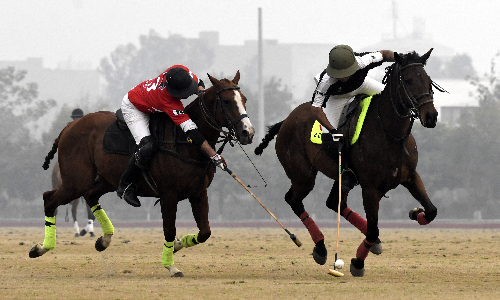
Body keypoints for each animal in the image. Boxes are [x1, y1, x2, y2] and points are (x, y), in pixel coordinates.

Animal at [28, 71, 254, 276]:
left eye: (244, 100)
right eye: (226, 101)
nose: (248, 133)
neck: (186, 143)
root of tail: (68, 127)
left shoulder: (198, 192)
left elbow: (205, 231)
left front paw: (178, 244)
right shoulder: (168, 194)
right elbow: (169, 229)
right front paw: (171, 266)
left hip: (106, 180)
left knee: (90, 196)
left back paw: (104, 240)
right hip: (76, 181)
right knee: (50, 199)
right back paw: (41, 248)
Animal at [256, 49, 440, 276]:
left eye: (428, 81)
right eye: (407, 80)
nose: (431, 116)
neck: (391, 134)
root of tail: (286, 120)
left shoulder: (411, 176)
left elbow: (431, 211)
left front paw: (416, 213)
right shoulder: (370, 188)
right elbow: (373, 228)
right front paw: (358, 262)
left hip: (341, 175)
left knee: (334, 202)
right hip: (303, 176)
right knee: (294, 200)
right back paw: (321, 247)